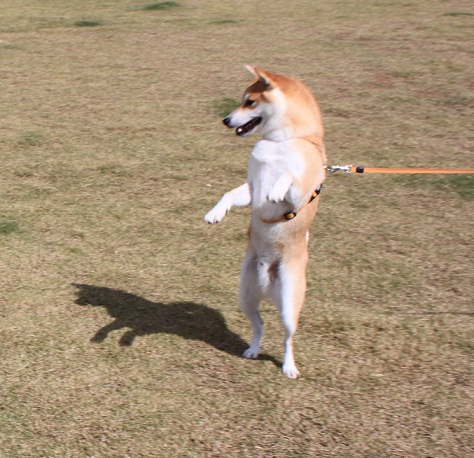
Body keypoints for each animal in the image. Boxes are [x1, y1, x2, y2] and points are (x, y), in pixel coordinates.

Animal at [206, 65, 328, 380]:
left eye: (249, 102)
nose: (225, 120)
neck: (279, 143)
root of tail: (268, 281)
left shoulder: (300, 195)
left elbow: (288, 178)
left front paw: (276, 188)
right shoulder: (251, 188)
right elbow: (229, 194)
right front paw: (215, 213)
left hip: (288, 305)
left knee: (287, 338)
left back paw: (289, 366)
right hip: (246, 296)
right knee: (259, 325)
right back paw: (252, 350)